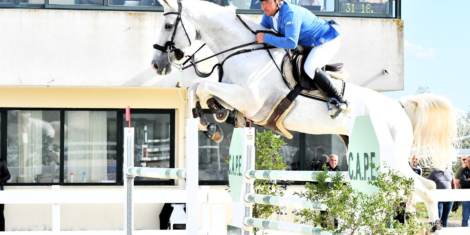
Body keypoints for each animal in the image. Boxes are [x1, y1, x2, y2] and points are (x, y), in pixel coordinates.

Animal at [151, 0, 458, 227]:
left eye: (167, 25)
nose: (156, 65)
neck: (242, 50)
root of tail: (398, 106)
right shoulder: (237, 96)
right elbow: (199, 89)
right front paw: (213, 120)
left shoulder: (251, 99)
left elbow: (200, 85)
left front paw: (210, 122)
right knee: (411, 189)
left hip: (390, 159)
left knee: (424, 187)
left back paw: (431, 225)